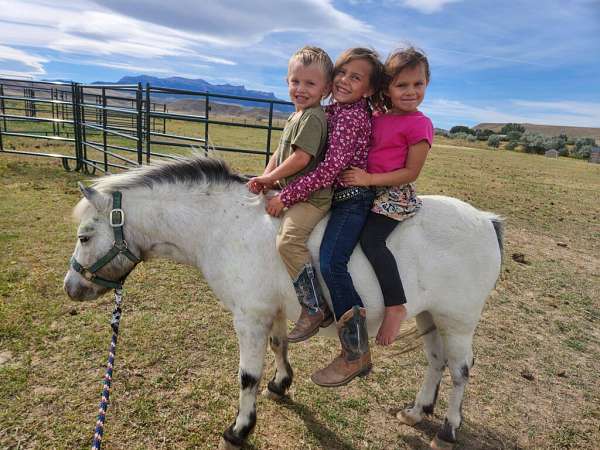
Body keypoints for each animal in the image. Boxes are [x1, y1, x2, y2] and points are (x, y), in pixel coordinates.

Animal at [63, 156, 502, 448]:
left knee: (460, 370)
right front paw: (280, 384)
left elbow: (246, 377)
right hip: (431, 315)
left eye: (84, 236)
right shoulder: (271, 313)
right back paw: (417, 411)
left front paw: (240, 428)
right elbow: (278, 346)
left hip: (458, 321)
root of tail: (486, 219)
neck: (224, 224)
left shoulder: (249, 318)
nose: (71, 288)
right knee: (436, 361)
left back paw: (448, 427)